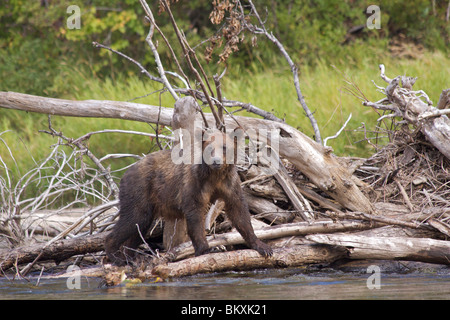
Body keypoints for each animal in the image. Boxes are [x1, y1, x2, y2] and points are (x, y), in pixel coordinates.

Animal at [105, 127, 272, 264]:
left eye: (225, 147)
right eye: (209, 148)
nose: (216, 161)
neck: (214, 176)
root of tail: (125, 173)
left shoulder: (229, 184)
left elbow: (239, 212)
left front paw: (262, 246)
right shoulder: (195, 184)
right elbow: (195, 215)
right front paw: (207, 248)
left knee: (140, 226)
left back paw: (130, 256)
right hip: (139, 190)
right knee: (133, 218)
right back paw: (116, 255)